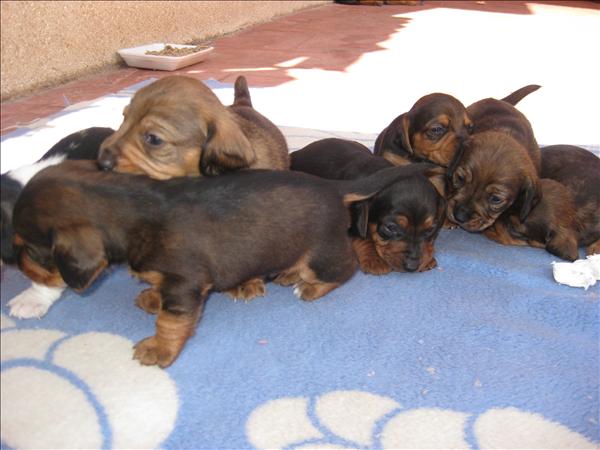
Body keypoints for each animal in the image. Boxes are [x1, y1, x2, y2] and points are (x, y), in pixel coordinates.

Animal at [11, 160, 420, 368]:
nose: (21, 271)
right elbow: (159, 294)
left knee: (344, 268)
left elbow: (171, 323)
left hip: (322, 254)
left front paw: (158, 350)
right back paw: (286, 274)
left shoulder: (184, 284)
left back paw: (309, 286)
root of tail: (333, 187)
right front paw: (150, 297)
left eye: (28, 248)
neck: (128, 210)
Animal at [290, 139, 446, 274]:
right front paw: (374, 260)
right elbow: (362, 237)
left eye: (431, 229)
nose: (412, 266)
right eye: (391, 227)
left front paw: (428, 259)